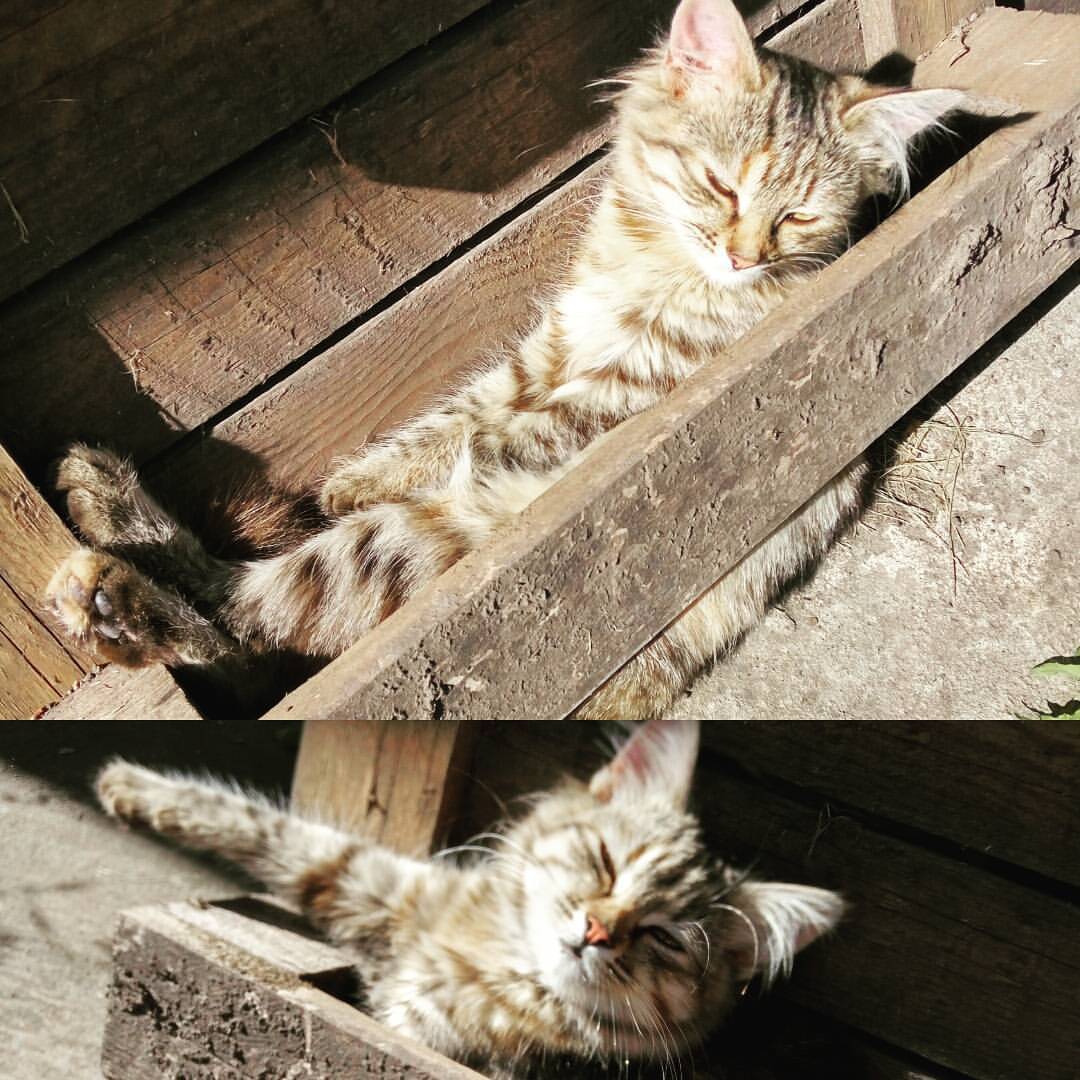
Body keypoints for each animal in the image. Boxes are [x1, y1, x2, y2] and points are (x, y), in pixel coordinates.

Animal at [46, 0, 967, 717]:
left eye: (799, 218)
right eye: (720, 185)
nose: (742, 259)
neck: (650, 262)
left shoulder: (627, 388)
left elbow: (500, 433)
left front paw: (379, 482)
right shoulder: (547, 349)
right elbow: (452, 421)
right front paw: (358, 476)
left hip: (409, 550)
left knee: (249, 627)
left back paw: (115, 592)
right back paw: (106, 501)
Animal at [95, 717, 842, 1071]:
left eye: (664, 938)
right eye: (607, 864)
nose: (596, 932)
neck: (505, 961)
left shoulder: (420, 1032)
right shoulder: (388, 887)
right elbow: (276, 831)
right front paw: (132, 787)